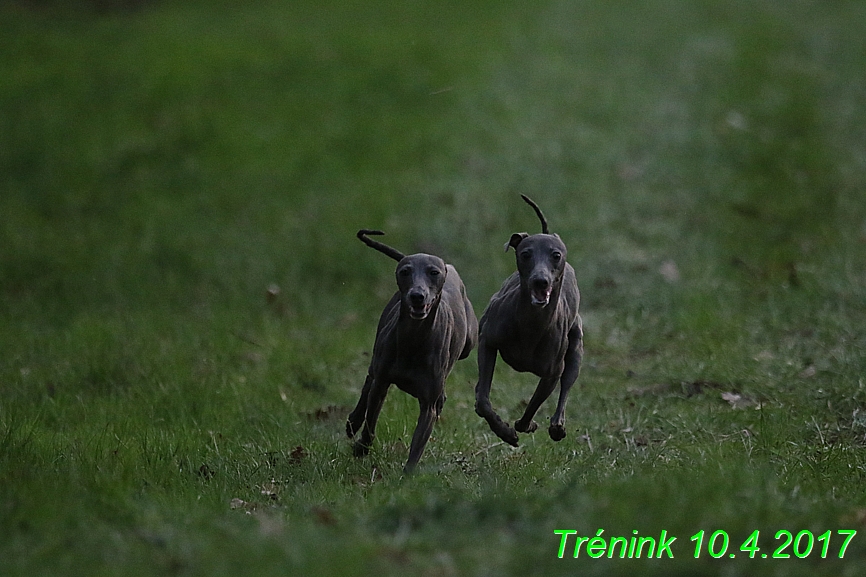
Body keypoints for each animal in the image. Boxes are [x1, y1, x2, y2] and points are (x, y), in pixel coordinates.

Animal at [346, 227, 480, 470]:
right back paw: (353, 421)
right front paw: (362, 447)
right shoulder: (382, 384)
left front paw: (407, 475)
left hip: (469, 342)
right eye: (405, 271)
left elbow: (418, 445)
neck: (414, 340)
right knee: (369, 379)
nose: (417, 295)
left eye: (434, 272)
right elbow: (371, 419)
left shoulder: (428, 406)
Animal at [470, 197, 584, 446]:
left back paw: (557, 425)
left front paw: (525, 425)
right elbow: (483, 401)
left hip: (575, 347)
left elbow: (532, 407)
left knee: (567, 384)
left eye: (556, 255)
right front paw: (504, 430)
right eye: (525, 254)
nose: (540, 281)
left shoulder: (552, 372)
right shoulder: (488, 341)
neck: (532, 324)